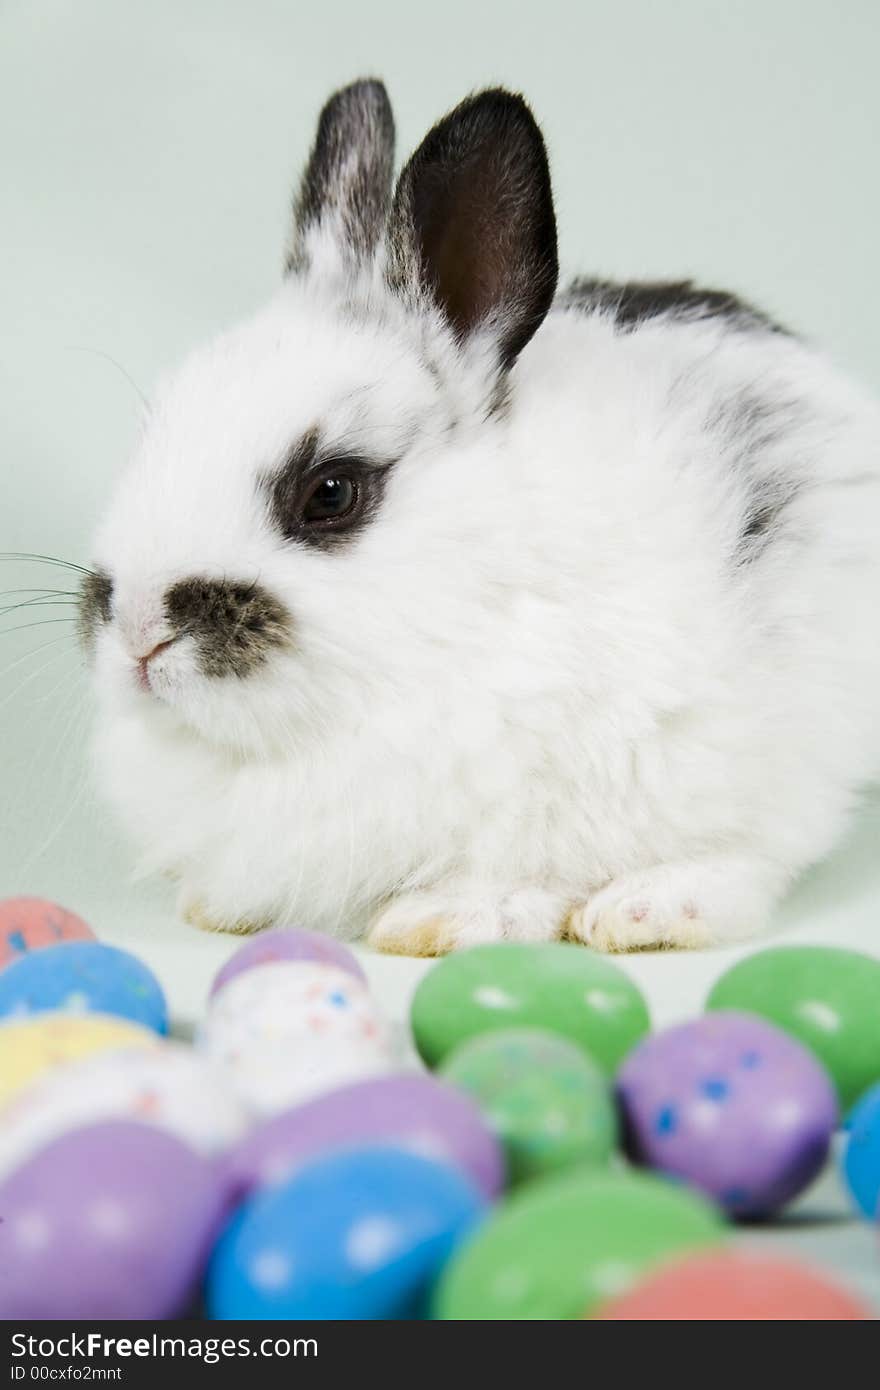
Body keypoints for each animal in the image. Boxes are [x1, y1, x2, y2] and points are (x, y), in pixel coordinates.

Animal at [85, 78, 878, 956]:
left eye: (330, 493)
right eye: (152, 434)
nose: (139, 634)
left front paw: (443, 919)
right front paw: (215, 909)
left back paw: (646, 909)